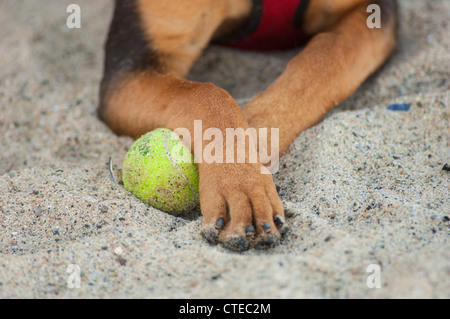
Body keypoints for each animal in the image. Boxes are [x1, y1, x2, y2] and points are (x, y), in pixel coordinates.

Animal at [97, 0, 398, 252]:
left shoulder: (374, 12)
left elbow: (329, 56)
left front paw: (253, 138)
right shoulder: (131, 69)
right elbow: (207, 92)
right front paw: (240, 180)